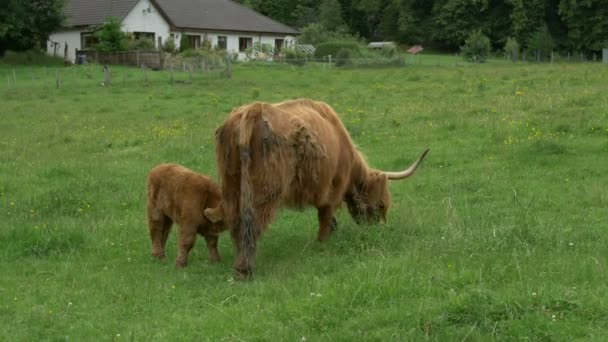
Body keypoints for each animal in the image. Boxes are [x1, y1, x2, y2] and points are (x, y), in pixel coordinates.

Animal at [204, 98, 428, 278]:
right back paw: (245, 269)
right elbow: (324, 216)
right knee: (251, 222)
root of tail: (252, 111)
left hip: (231, 185)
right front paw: (323, 241)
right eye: (381, 205)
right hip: (264, 189)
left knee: (235, 219)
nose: (378, 229)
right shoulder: (332, 188)